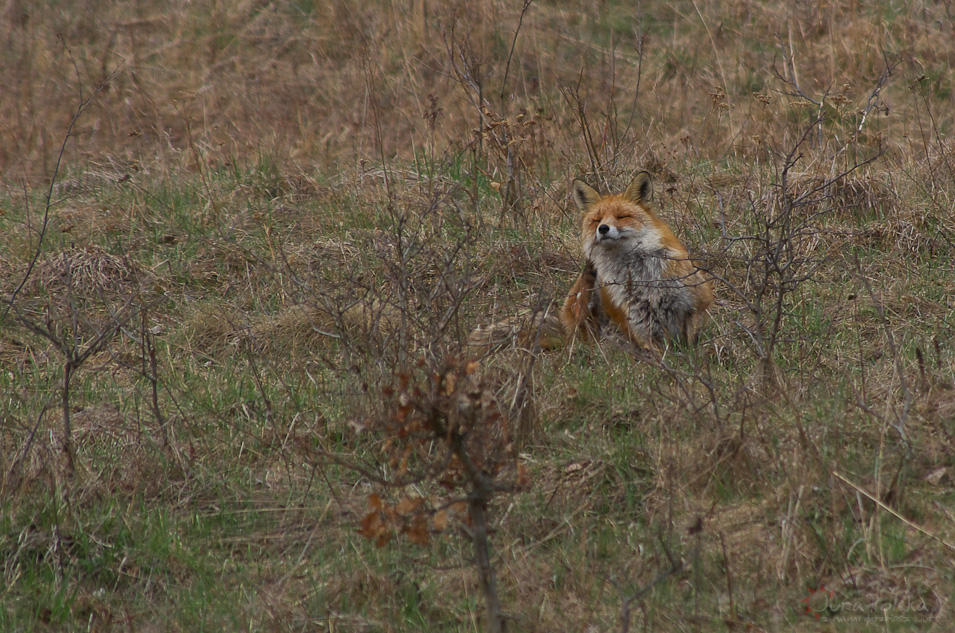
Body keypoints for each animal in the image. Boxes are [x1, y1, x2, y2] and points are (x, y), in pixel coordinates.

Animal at [564, 172, 712, 350]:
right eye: (597, 220)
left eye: (622, 216)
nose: (603, 228)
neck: (644, 277)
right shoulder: (642, 326)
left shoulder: (697, 304)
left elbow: (693, 346)